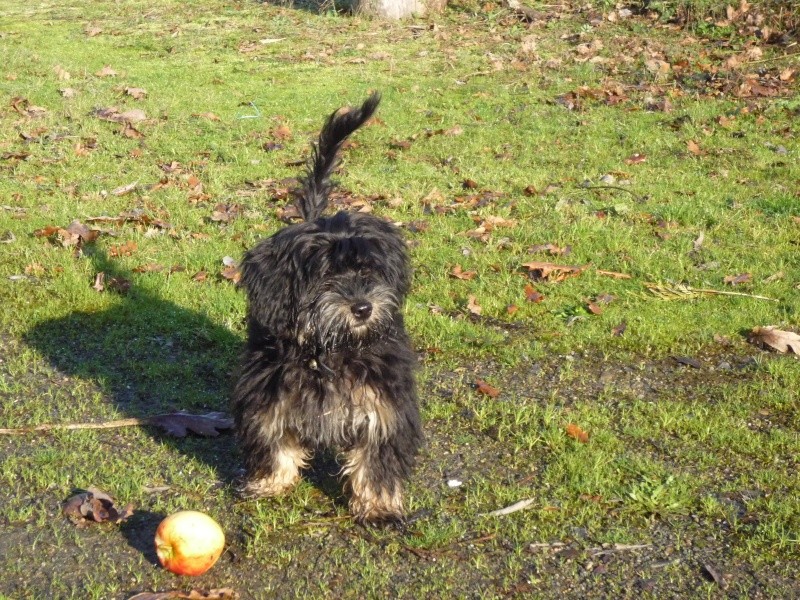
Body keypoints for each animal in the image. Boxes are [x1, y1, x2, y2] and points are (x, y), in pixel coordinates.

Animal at [233, 94, 424, 524]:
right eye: (325, 278)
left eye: (368, 269)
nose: (363, 307)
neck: (331, 351)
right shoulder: (268, 392)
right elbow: (272, 439)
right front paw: (270, 483)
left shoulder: (384, 398)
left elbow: (377, 455)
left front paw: (378, 505)